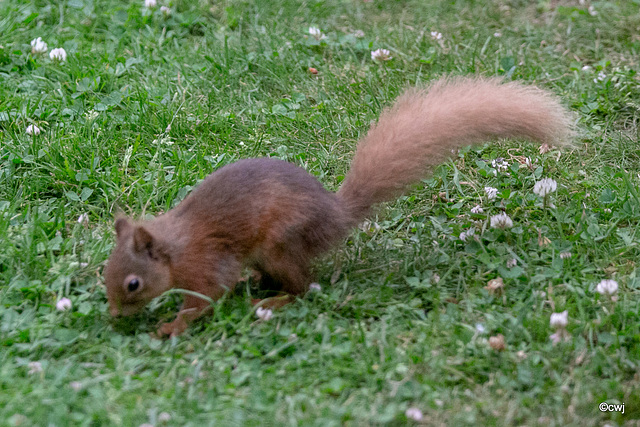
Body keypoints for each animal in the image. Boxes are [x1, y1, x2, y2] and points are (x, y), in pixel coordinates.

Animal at [105, 77, 576, 338]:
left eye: (133, 283)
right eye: (103, 271)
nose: (112, 316)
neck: (174, 246)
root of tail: (336, 217)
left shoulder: (206, 263)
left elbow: (205, 299)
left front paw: (172, 327)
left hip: (282, 242)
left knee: (305, 286)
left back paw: (273, 302)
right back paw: (255, 283)